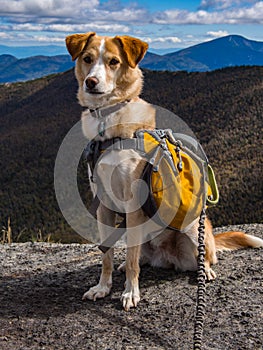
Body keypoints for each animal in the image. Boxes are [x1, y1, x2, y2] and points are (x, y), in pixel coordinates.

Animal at [66, 32, 263, 312]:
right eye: (87, 58)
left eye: (114, 61)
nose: (91, 82)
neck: (110, 125)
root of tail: (167, 258)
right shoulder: (103, 206)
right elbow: (107, 255)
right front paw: (103, 287)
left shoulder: (134, 205)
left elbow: (132, 261)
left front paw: (130, 292)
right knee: (138, 255)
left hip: (193, 228)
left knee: (204, 256)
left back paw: (205, 270)